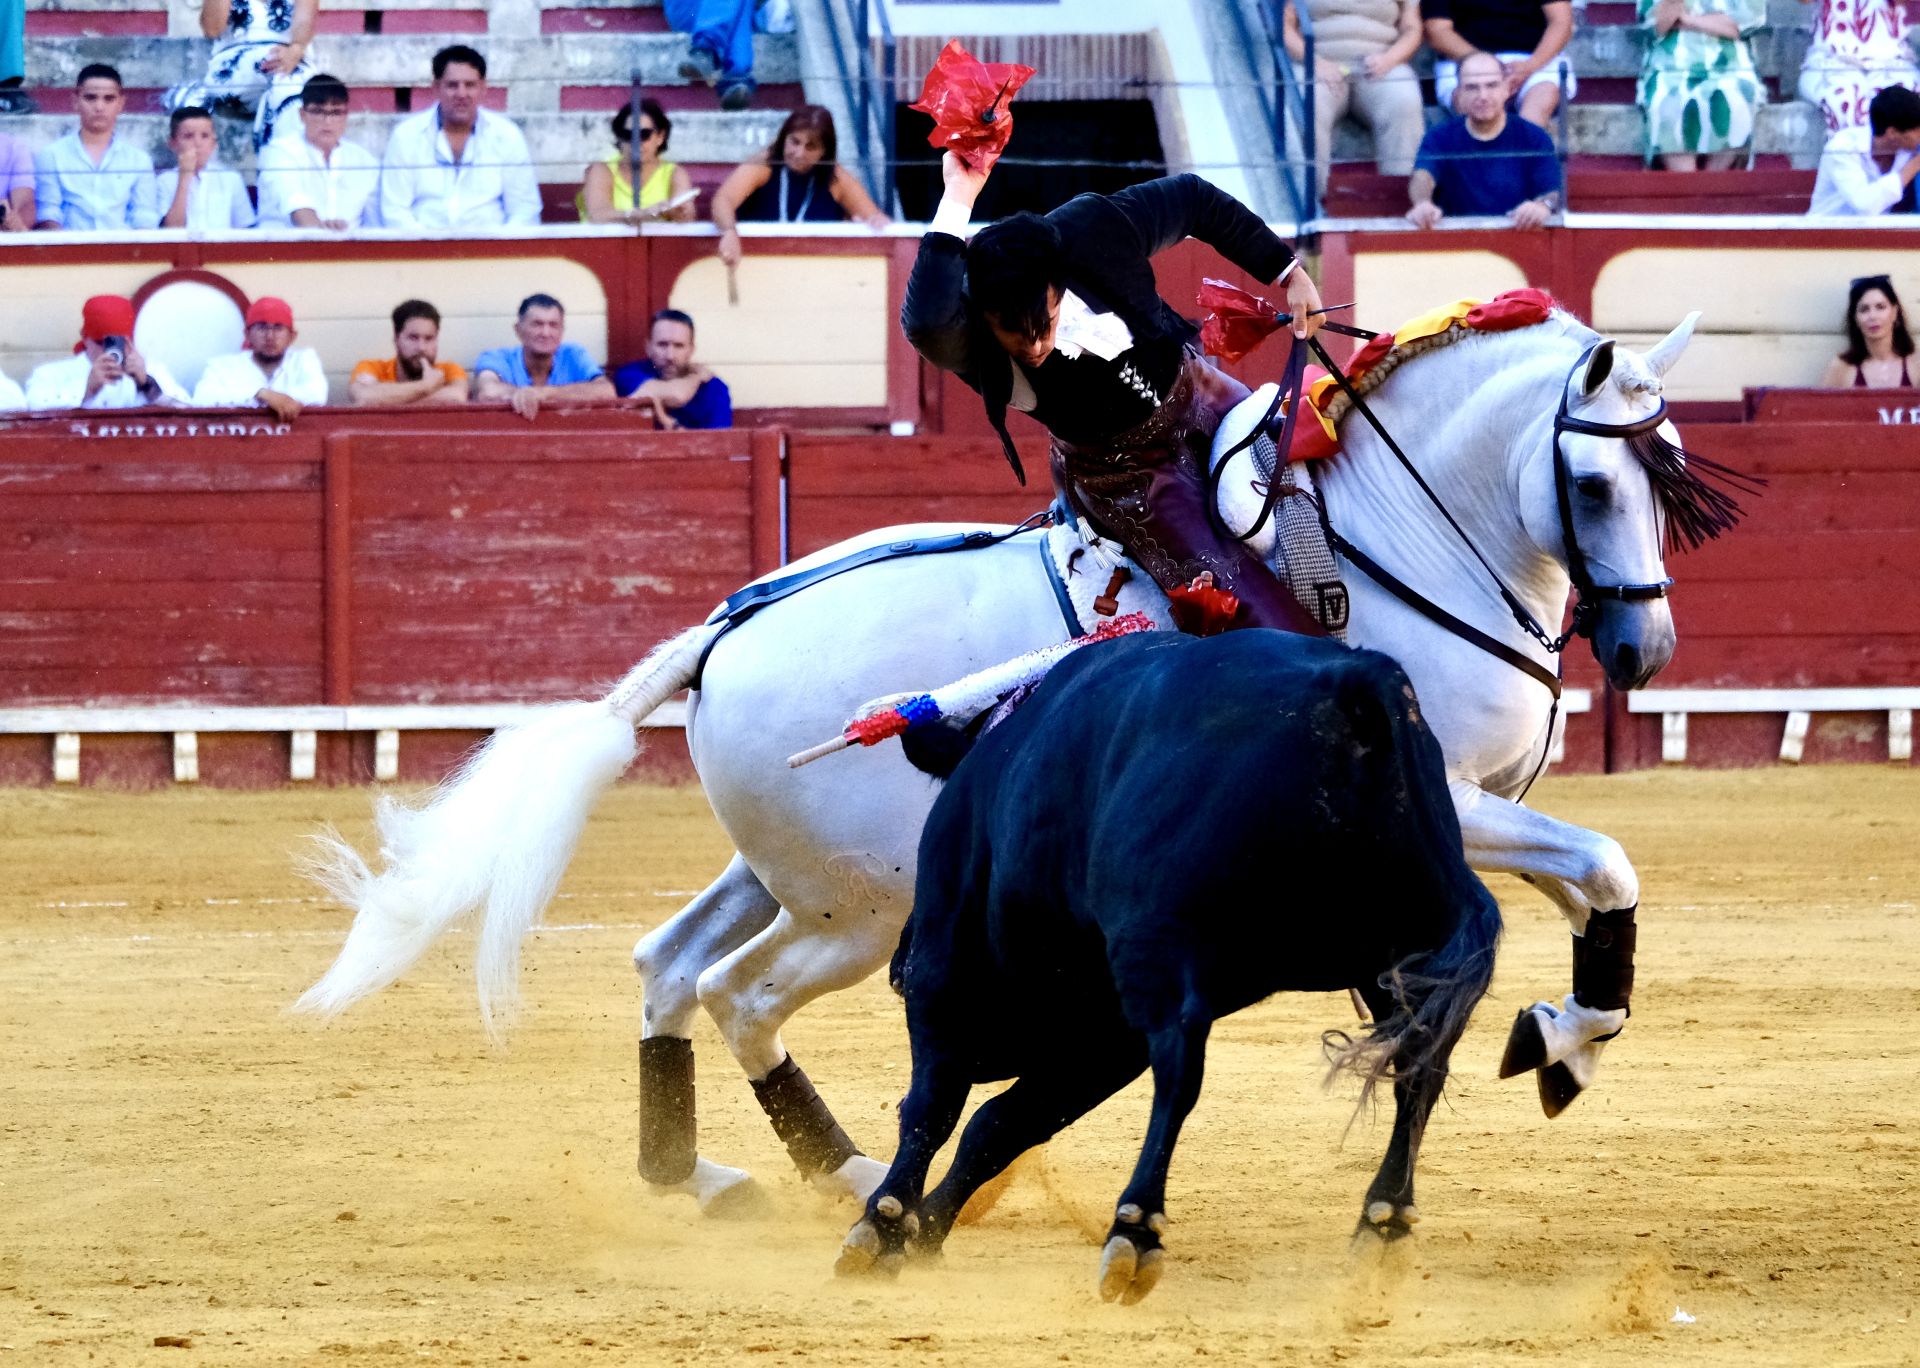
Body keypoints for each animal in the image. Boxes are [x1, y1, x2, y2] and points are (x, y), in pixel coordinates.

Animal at [299, 307, 1743, 1206]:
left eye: (1674, 471)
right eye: (1597, 484)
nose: (1647, 646)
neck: (1390, 535)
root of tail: (729, 627)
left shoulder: (1469, 817)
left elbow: (1574, 893)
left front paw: (1555, 1034)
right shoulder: (1445, 805)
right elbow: (1605, 863)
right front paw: (1560, 1043)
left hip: (781, 871)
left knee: (668, 964)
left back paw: (701, 1176)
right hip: (861, 907)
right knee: (740, 994)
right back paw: (844, 1173)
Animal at [840, 630, 1512, 1306]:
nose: (896, 965)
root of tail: (1355, 683)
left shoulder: (950, 962)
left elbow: (935, 1104)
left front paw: (885, 1225)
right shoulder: (1107, 1036)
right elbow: (1002, 1123)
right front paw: (924, 1233)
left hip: (1155, 948)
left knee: (1182, 1065)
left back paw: (1136, 1230)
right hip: (1401, 962)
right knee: (1419, 1067)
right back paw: (1384, 1225)